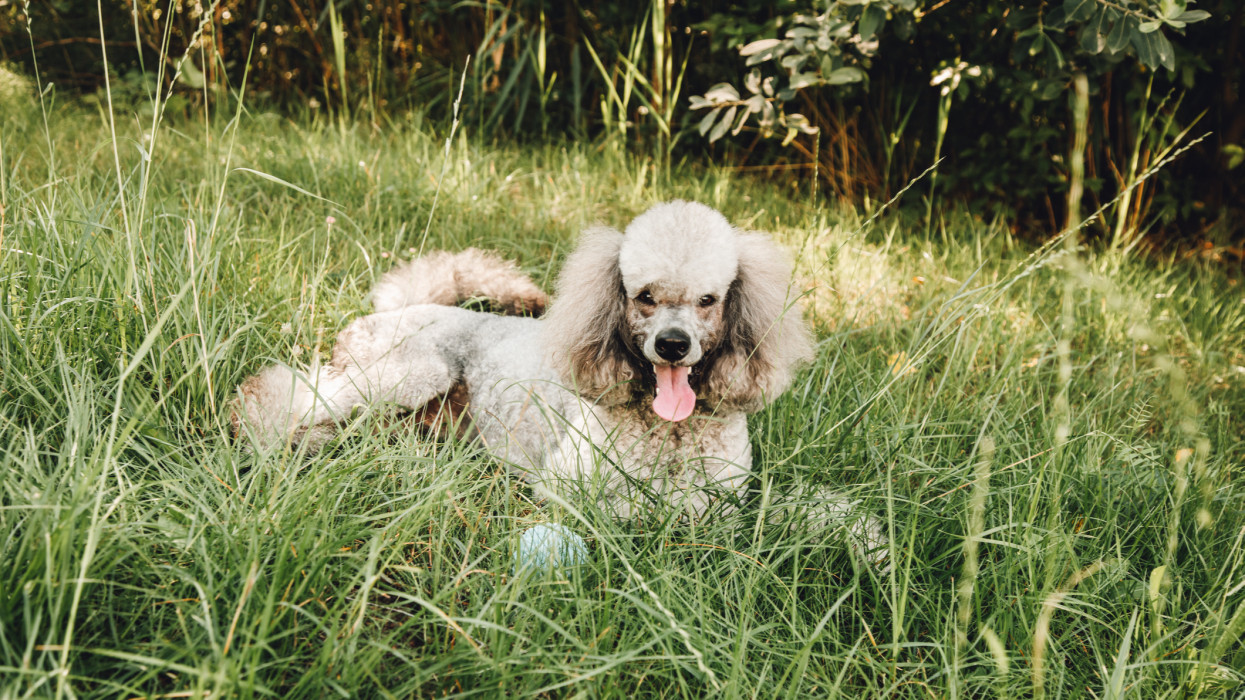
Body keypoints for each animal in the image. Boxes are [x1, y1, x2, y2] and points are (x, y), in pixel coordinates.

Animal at [231, 200, 886, 555]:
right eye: (643, 296)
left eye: (709, 299)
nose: (673, 346)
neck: (668, 431)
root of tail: (403, 306)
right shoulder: (570, 489)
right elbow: (637, 512)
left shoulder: (729, 502)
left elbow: (799, 511)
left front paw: (868, 544)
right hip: (412, 370)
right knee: (285, 395)